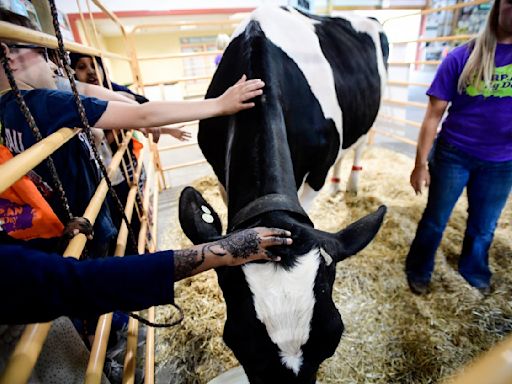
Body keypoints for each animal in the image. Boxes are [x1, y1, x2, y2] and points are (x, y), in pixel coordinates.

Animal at [179, 4, 388, 382]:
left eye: (332, 340)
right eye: (238, 343)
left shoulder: (315, 174)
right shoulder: (222, 175)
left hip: (368, 118)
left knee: (358, 147)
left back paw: (350, 185)